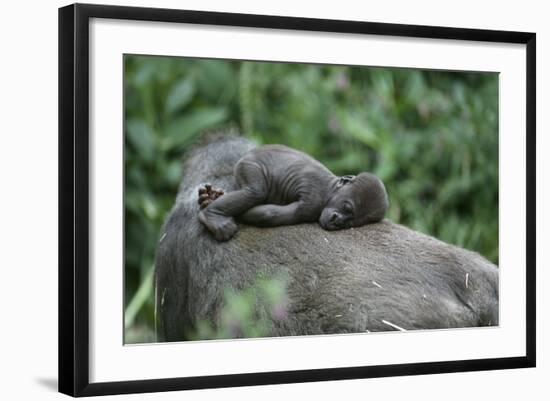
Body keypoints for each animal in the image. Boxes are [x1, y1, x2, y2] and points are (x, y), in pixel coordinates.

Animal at [198, 145, 388, 242]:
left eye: (351, 222)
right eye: (346, 207)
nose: (337, 220)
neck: (332, 189)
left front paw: (212, 197)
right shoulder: (313, 201)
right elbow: (268, 213)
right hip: (248, 164)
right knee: (255, 192)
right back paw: (212, 215)